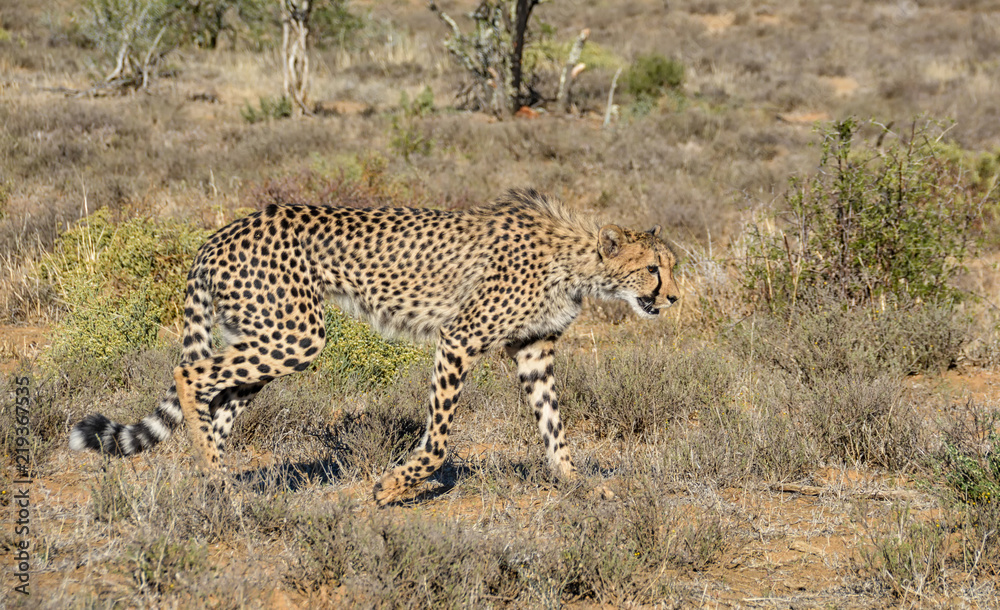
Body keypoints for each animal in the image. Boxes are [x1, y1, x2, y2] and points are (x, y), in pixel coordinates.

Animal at [69, 188, 680, 506]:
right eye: (654, 269)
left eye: (672, 268)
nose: (673, 297)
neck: (576, 261)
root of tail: (222, 232)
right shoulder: (458, 338)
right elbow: (438, 440)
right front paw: (391, 487)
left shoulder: (533, 350)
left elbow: (554, 426)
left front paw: (577, 484)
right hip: (296, 334)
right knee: (190, 373)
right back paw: (214, 473)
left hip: (263, 336)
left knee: (219, 399)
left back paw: (220, 484)